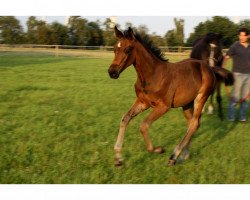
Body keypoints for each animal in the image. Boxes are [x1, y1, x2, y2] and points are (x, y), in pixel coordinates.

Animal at [108, 27, 233, 166]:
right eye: (115, 49)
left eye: (128, 49)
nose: (112, 72)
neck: (152, 75)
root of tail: (210, 68)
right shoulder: (142, 102)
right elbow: (125, 119)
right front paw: (118, 159)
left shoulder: (163, 106)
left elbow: (144, 125)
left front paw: (157, 149)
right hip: (187, 104)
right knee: (192, 124)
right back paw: (184, 154)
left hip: (201, 98)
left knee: (194, 123)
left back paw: (174, 156)